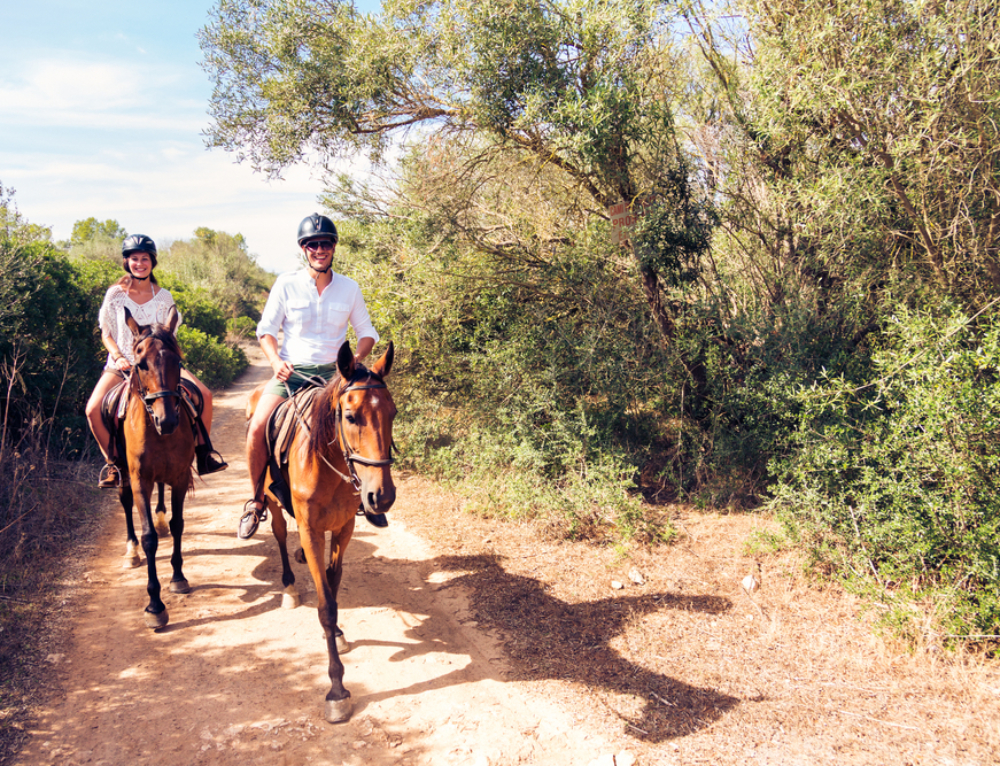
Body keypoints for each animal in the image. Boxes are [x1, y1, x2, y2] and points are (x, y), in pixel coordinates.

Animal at [246, 342, 394, 728]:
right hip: (271, 501)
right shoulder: (312, 529)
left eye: (394, 413)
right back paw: (288, 586)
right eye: (351, 416)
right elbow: (325, 605)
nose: (382, 496)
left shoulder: (344, 528)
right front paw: (337, 690)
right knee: (280, 534)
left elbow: (333, 584)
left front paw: (339, 634)